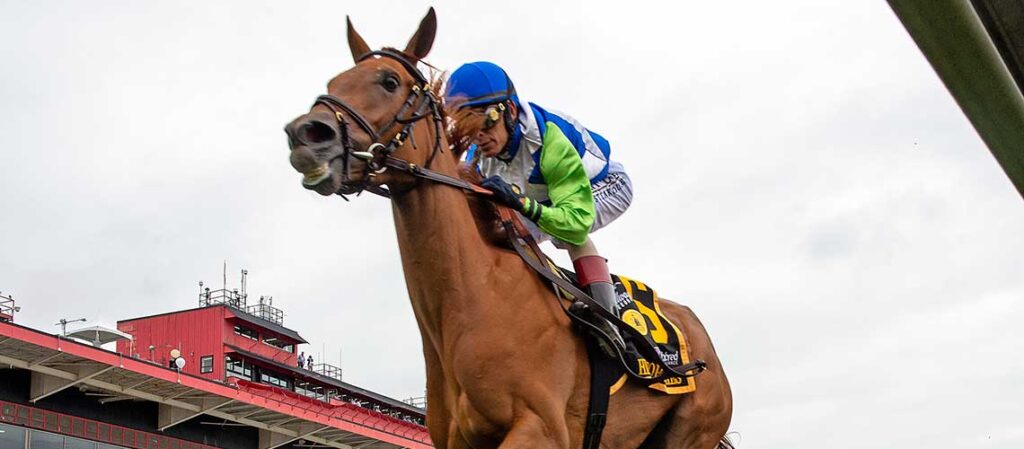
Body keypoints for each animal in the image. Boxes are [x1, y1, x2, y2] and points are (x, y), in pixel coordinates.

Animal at [284, 8, 733, 448]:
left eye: (389, 81)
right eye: (334, 82)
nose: (306, 134)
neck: (474, 293)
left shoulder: (541, 429)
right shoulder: (456, 439)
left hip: (692, 429)